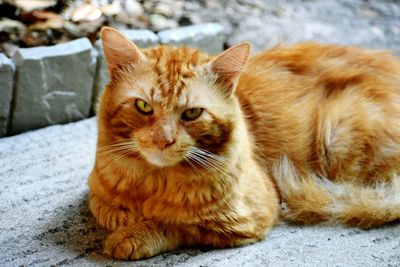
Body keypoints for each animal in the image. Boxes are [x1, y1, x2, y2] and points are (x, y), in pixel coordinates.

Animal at [89, 26, 400, 260]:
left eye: (192, 113)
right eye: (143, 106)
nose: (163, 140)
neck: (152, 182)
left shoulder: (243, 220)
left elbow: (176, 224)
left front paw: (133, 234)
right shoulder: (98, 191)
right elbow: (105, 208)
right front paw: (125, 218)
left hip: (339, 134)